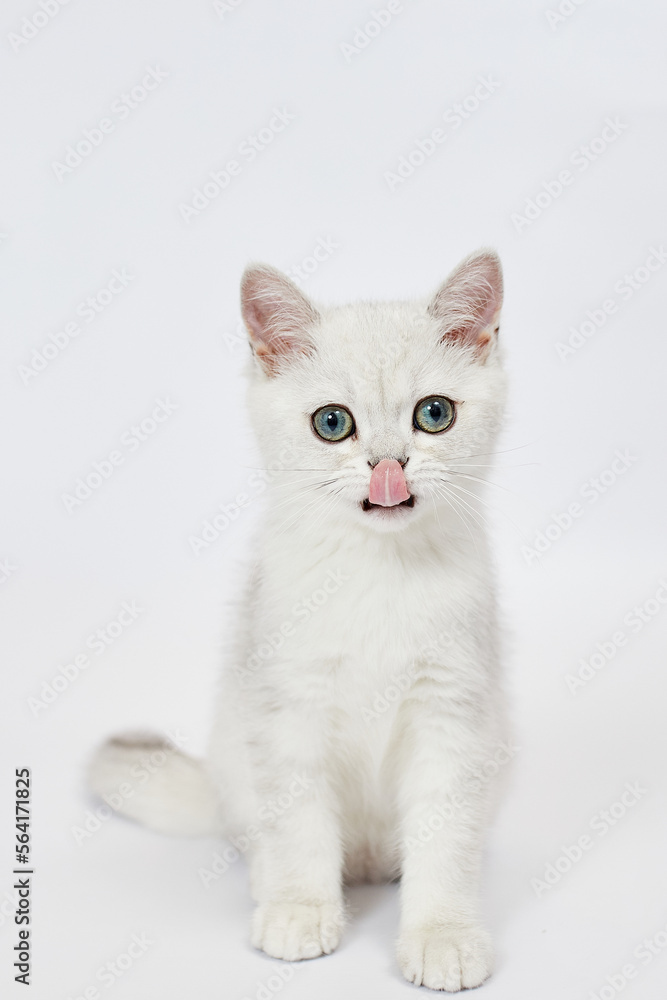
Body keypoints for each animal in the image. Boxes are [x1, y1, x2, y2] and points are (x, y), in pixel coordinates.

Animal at [91, 250, 512, 992]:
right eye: (332, 424)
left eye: (433, 414)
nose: (386, 467)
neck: (378, 571)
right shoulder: (287, 709)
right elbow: (298, 828)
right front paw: (299, 910)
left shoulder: (453, 714)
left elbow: (443, 839)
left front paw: (443, 935)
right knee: (260, 834)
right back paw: (271, 884)